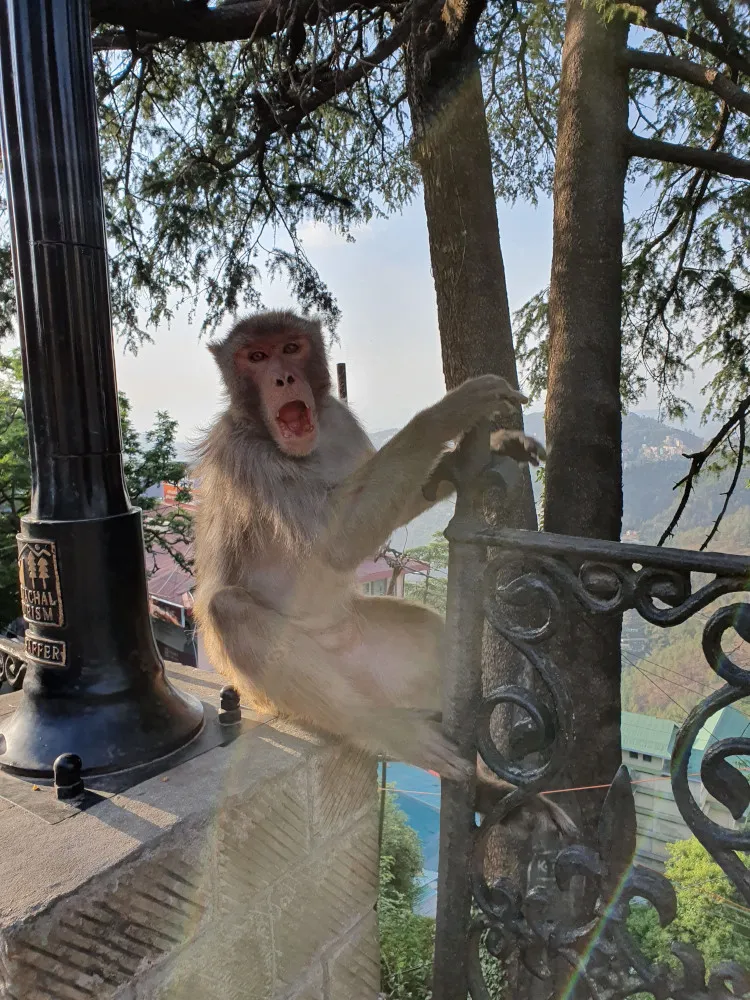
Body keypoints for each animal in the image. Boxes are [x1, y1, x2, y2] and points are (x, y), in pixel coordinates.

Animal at [193, 310, 575, 838]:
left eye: (290, 348)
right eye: (256, 356)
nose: (283, 378)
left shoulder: (336, 419)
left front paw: (474, 453)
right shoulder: (245, 456)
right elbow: (336, 542)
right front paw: (448, 412)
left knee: (429, 631)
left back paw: (487, 788)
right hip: (278, 695)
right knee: (228, 609)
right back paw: (385, 729)